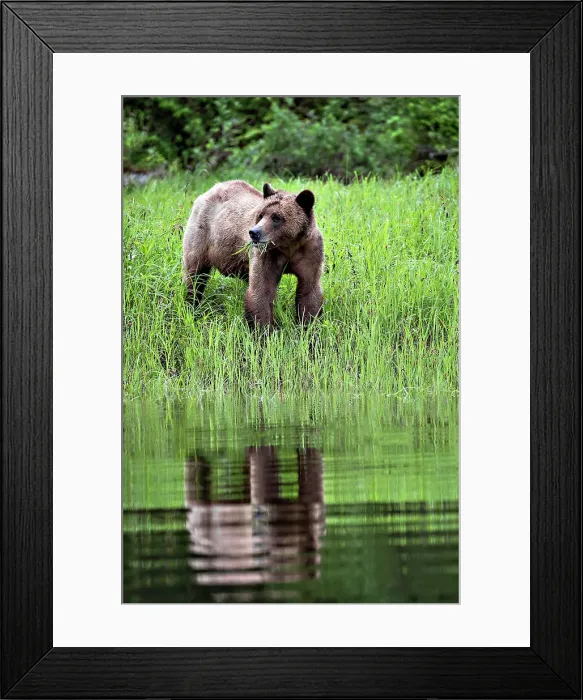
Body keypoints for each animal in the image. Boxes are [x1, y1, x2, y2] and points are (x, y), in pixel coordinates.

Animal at [182, 181, 324, 328]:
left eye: (277, 217)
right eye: (260, 215)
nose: (254, 232)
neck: (288, 245)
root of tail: (213, 188)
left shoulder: (310, 252)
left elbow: (309, 291)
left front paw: (309, 326)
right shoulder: (267, 254)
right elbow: (261, 291)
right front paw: (264, 330)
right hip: (202, 232)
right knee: (196, 274)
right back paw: (192, 305)